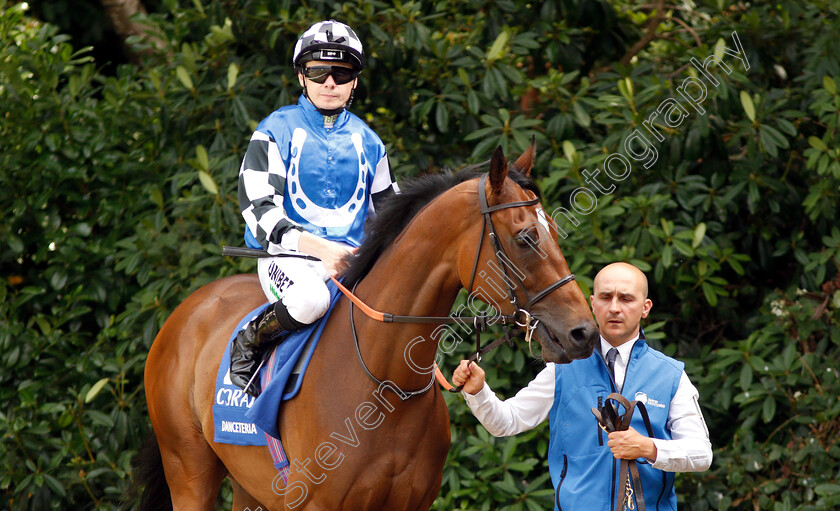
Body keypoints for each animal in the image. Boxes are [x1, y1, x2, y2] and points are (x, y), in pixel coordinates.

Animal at [136, 142, 596, 510]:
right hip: (189, 471)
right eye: (526, 238)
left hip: (251, 485)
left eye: (554, 231)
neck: (385, 385)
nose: (583, 333)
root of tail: (187, 310)